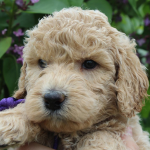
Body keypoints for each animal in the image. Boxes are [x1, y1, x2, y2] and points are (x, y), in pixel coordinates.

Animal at [0, 7, 150, 150]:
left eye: (89, 64)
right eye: (42, 62)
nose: (52, 99)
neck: (67, 134)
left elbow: (102, 134)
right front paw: (11, 119)